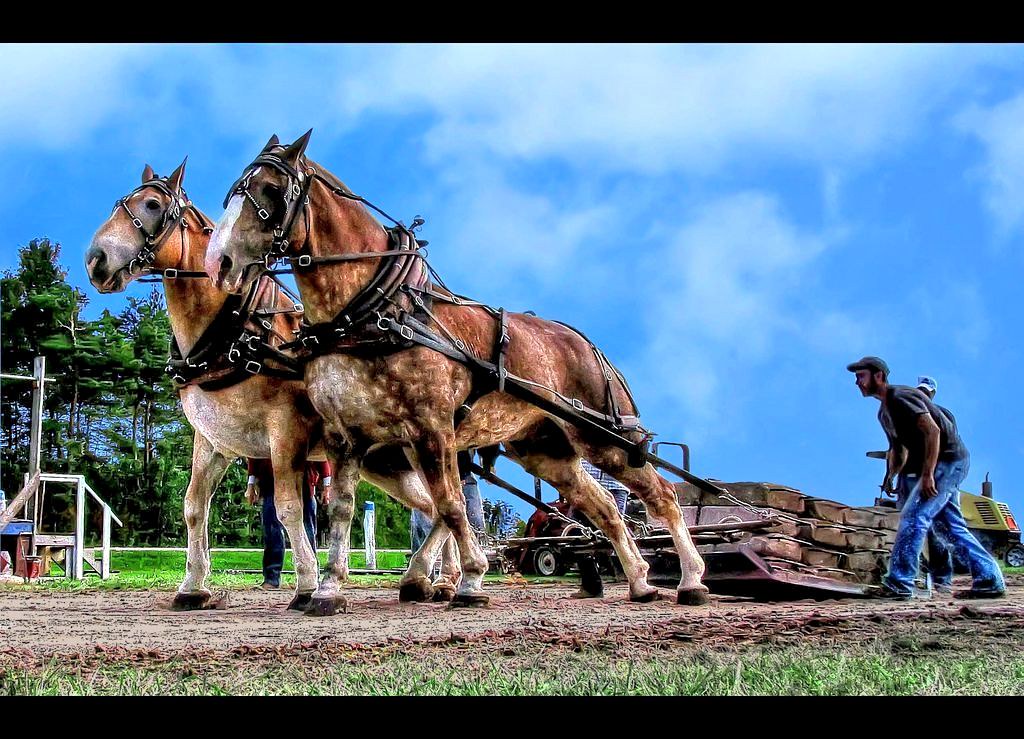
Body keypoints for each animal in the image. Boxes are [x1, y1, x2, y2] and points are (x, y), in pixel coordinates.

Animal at [85, 160, 461, 614]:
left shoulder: (286, 432)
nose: (96, 260)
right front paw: (192, 586)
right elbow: (194, 507)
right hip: (387, 462)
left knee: (445, 503)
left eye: (153, 205)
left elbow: (287, 508)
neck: (235, 332)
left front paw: (307, 585)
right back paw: (437, 579)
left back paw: (438, 578)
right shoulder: (212, 441)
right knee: (435, 505)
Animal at [204, 131, 710, 607]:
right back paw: (640, 580)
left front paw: (470, 579)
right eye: (233, 190)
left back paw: (690, 579)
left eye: (271, 190)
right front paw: (329, 588)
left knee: (661, 495)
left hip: (604, 439)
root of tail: (588, 344)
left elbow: (450, 504)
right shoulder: (345, 435)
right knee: (603, 505)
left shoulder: (432, 427)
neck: (376, 312)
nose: (217, 262)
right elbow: (343, 510)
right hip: (545, 449)